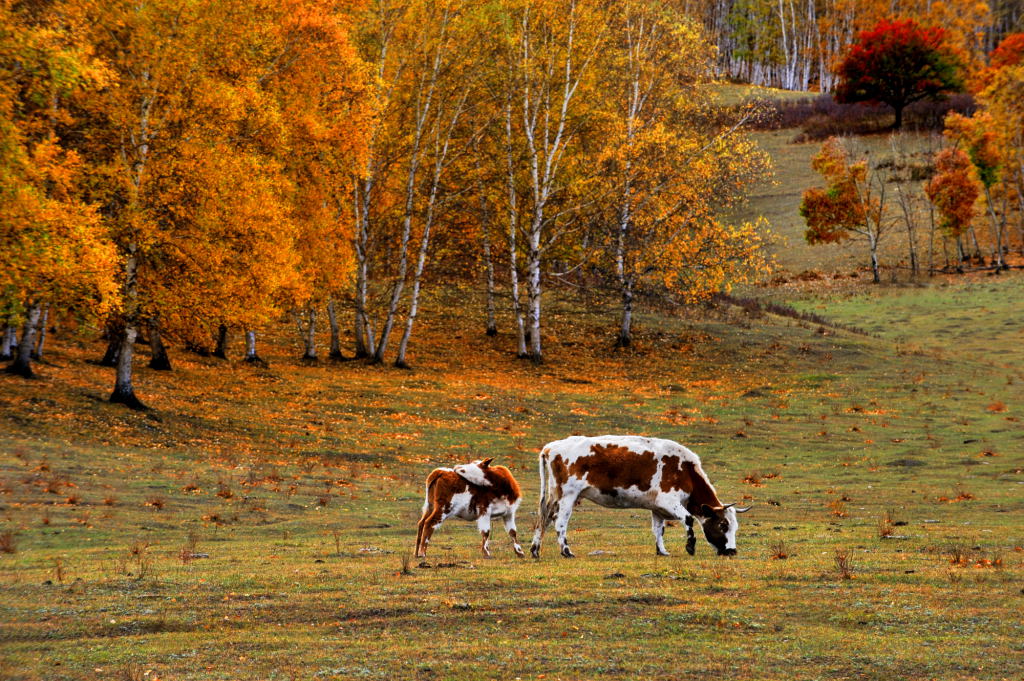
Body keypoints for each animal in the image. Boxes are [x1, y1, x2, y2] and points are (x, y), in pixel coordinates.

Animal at [532, 436, 749, 557]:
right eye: (723, 525)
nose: (732, 551)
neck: (685, 470)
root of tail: (551, 447)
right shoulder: (668, 501)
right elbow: (688, 519)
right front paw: (690, 547)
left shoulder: (657, 508)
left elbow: (659, 530)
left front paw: (661, 551)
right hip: (568, 496)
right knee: (560, 522)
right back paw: (566, 551)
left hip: (554, 496)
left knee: (543, 518)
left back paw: (535, 550)